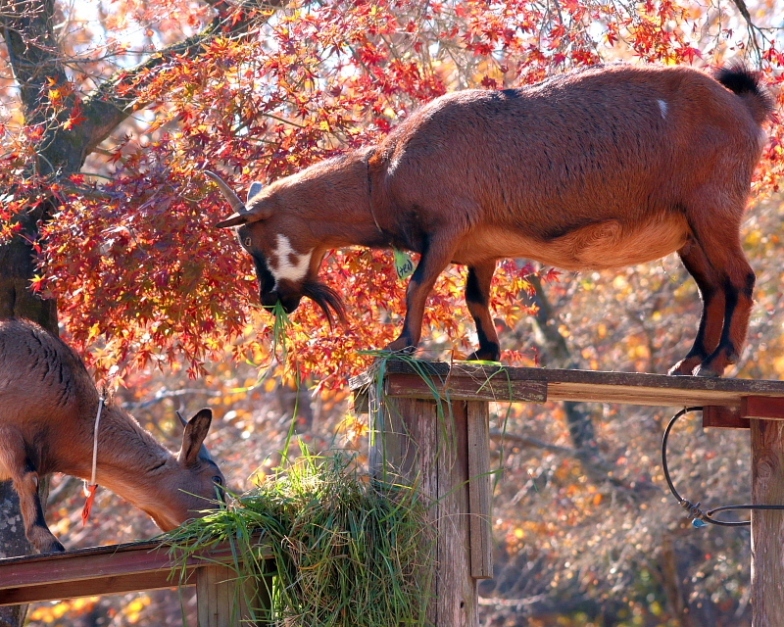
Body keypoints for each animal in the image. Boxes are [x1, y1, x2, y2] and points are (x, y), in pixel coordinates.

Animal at [207, 63, 772, 378]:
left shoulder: (447, 228)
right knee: (713, 288)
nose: (269, 300)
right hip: (687, 231)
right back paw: (690, 363)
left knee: (740, 279)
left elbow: (417, 285)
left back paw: (720, 361)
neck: (383, 173)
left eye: (249, 239)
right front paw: (487, 353)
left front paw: (401, 346)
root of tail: (744, 106)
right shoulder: (481, 249)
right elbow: (474, 297)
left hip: (712, 209)